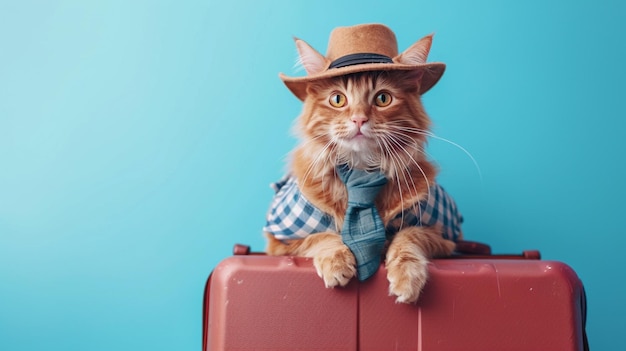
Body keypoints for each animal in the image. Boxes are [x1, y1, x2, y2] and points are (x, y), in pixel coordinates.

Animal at [260, 25, 460, 306]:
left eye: (383, 99)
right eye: (337, 100)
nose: (359, 119)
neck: (361, 171)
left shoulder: (444, 236)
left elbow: (410, 235)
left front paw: (407, 276)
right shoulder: (279, 240)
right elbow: (322, 236)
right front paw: (337, 261)